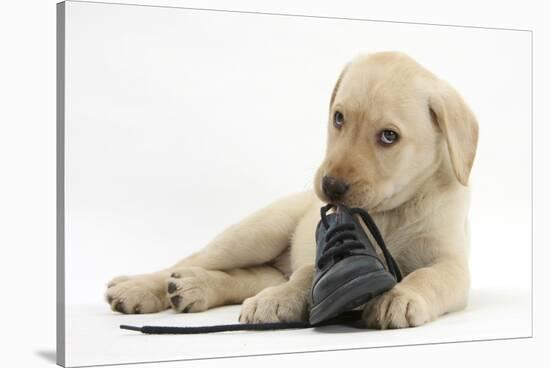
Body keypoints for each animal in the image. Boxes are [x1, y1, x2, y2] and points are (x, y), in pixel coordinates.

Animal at [106, 51, 478, 328]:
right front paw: (278, 300)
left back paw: (193, 286)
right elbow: (305, 275)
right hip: (254, 234)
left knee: (248, 277)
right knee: (194, 260)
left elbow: (428, 277)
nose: (330, 186)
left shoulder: (453, 265)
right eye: (338, 118)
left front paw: (400, 296)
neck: (391, 212)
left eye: (389, 136)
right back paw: (138, 287)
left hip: (261, 259)